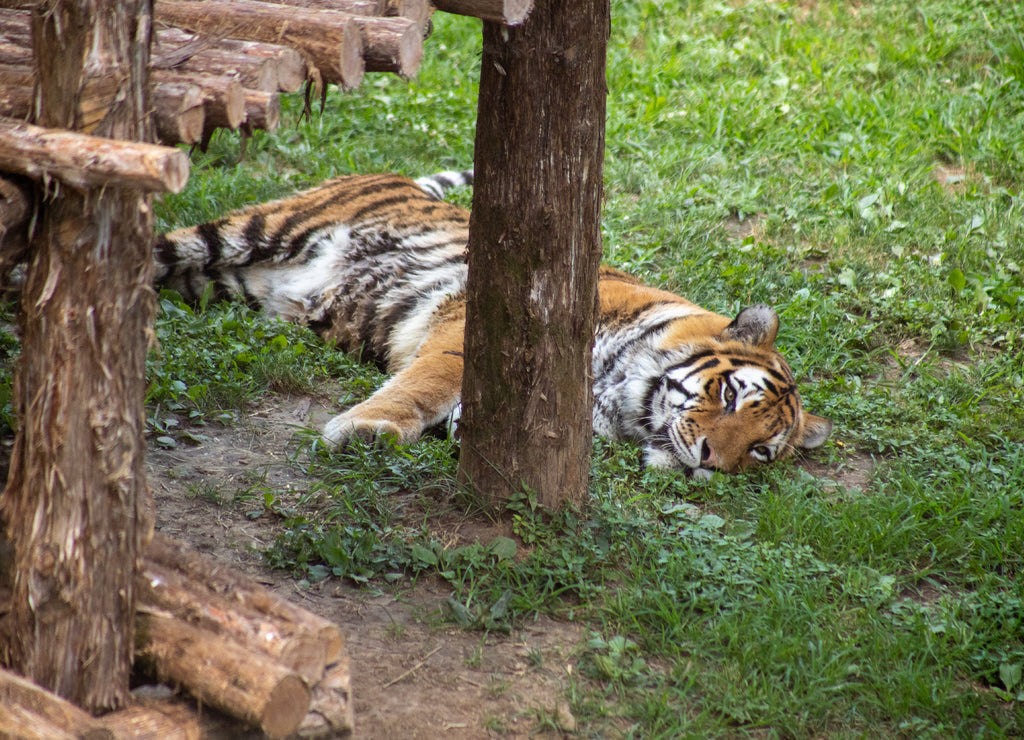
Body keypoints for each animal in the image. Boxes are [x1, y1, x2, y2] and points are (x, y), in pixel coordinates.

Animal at [157, 169, 831, 476]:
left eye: (762, 452)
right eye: (731, 394)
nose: (710, 462)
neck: (626, 398)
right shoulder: (473, 330)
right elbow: (423, 386)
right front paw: (366, 430)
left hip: (229, 285)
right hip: (248, 233)